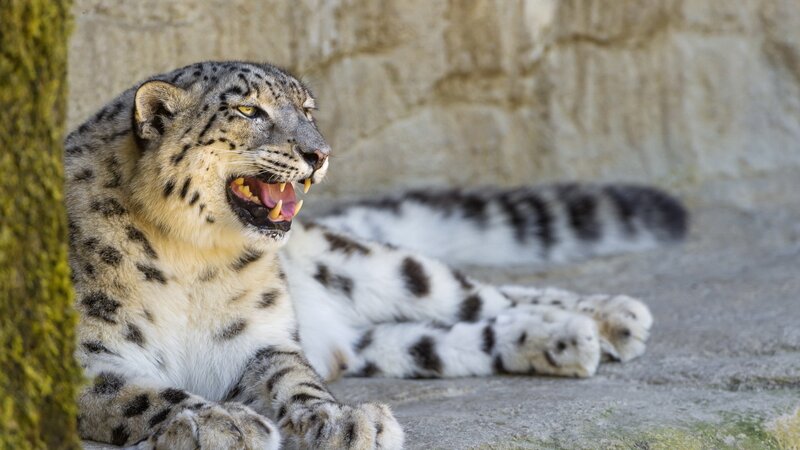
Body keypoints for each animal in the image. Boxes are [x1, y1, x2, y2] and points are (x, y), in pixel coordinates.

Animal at [65, 61, 687, 449]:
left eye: (308, 109)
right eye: (248, 112)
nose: (318, 153)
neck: (194, 261)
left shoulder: (262, 340)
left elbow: (295, 381)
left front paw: (342, 420)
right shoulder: (81, 357)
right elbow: (143, 393)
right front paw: (220, 422)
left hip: (383, 270)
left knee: (484, 294)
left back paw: (609, 318)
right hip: (384, 340)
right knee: (450, 339)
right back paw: (563, 339)